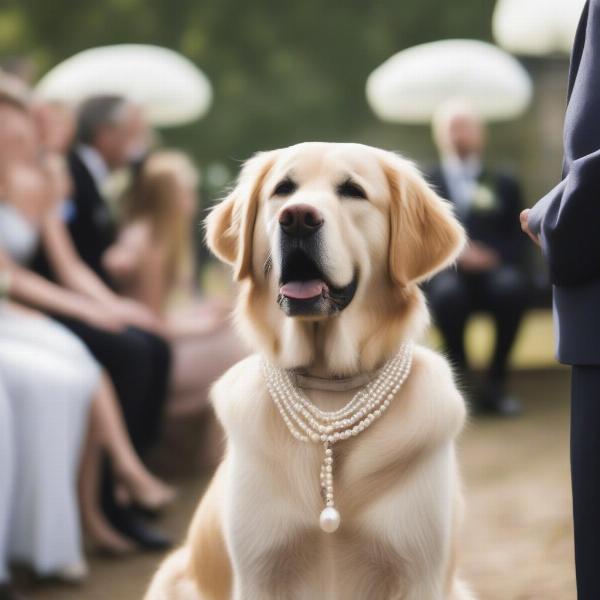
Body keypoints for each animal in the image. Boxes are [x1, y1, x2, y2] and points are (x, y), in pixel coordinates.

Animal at [144, 143, 474, 596]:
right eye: (283, 189)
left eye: (352, 191)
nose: (297, 217)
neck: (328, 385)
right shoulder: (259, 571)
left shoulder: (417, 571)